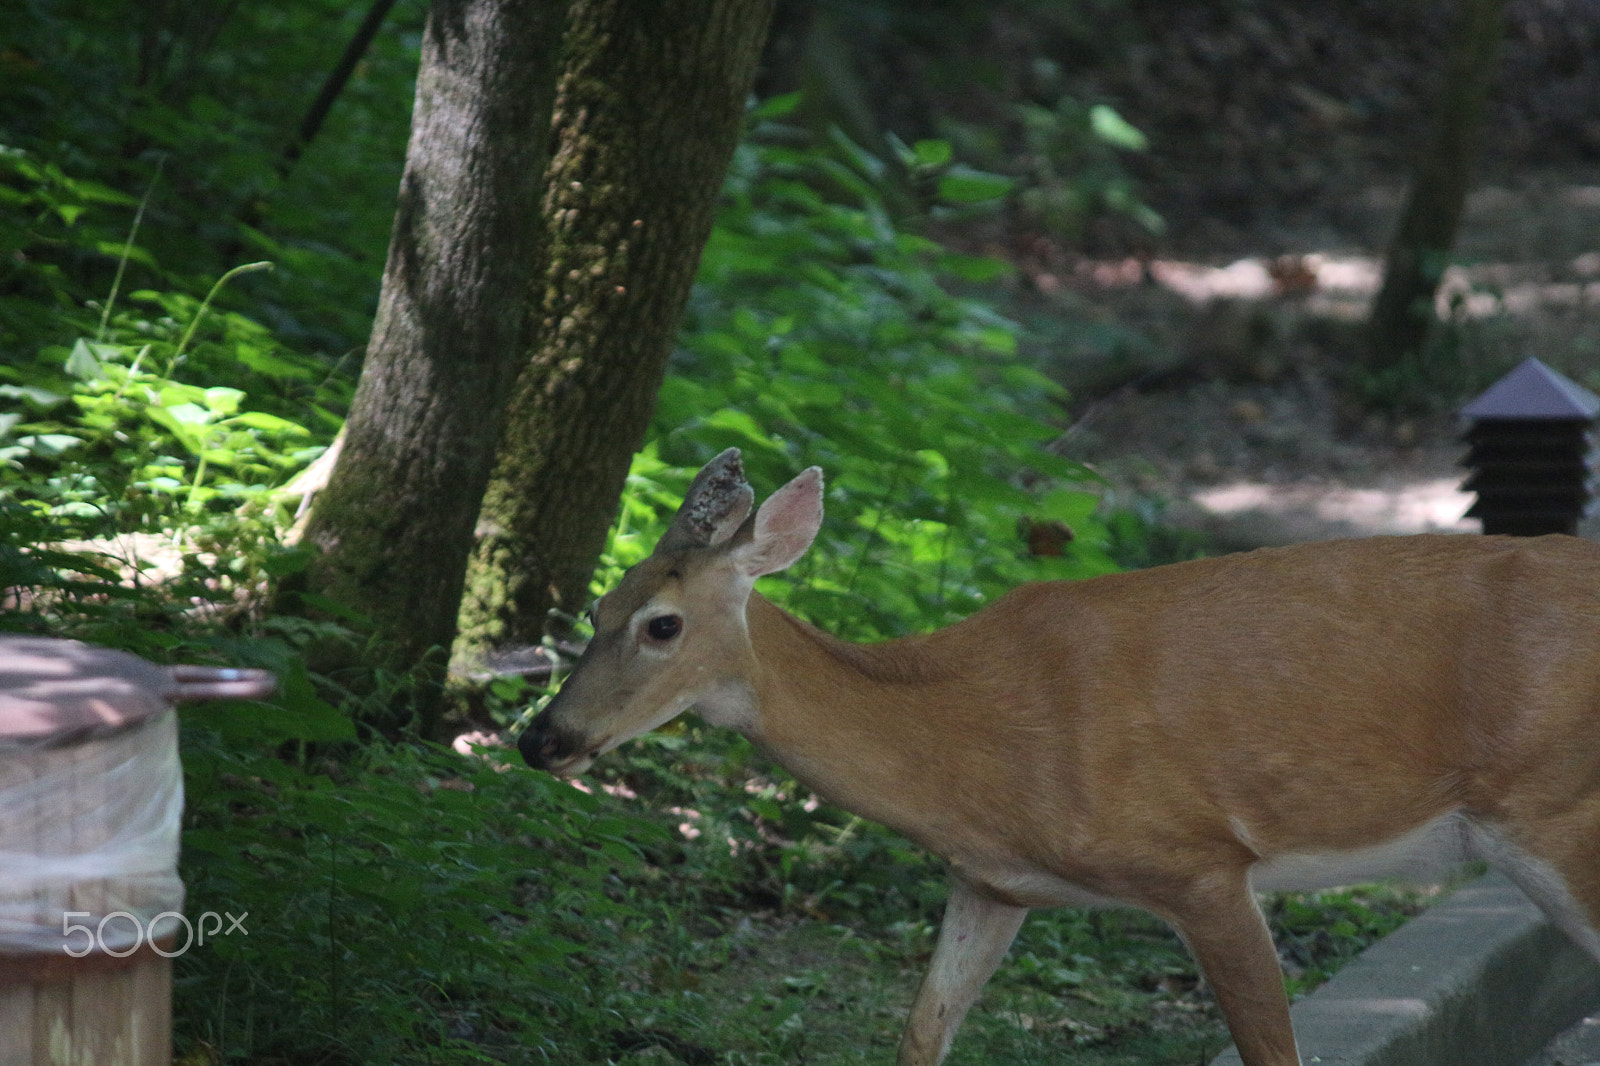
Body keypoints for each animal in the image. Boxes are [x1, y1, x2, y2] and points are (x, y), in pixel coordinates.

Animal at [519, 448, 1600, 1066]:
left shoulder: (1198, 860)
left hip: (1556, 807)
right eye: (599, 606)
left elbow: (1273, 1051)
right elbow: (920, 1032)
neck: (971, 739)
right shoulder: (992, 882)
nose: (542, 736)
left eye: (661, 623)